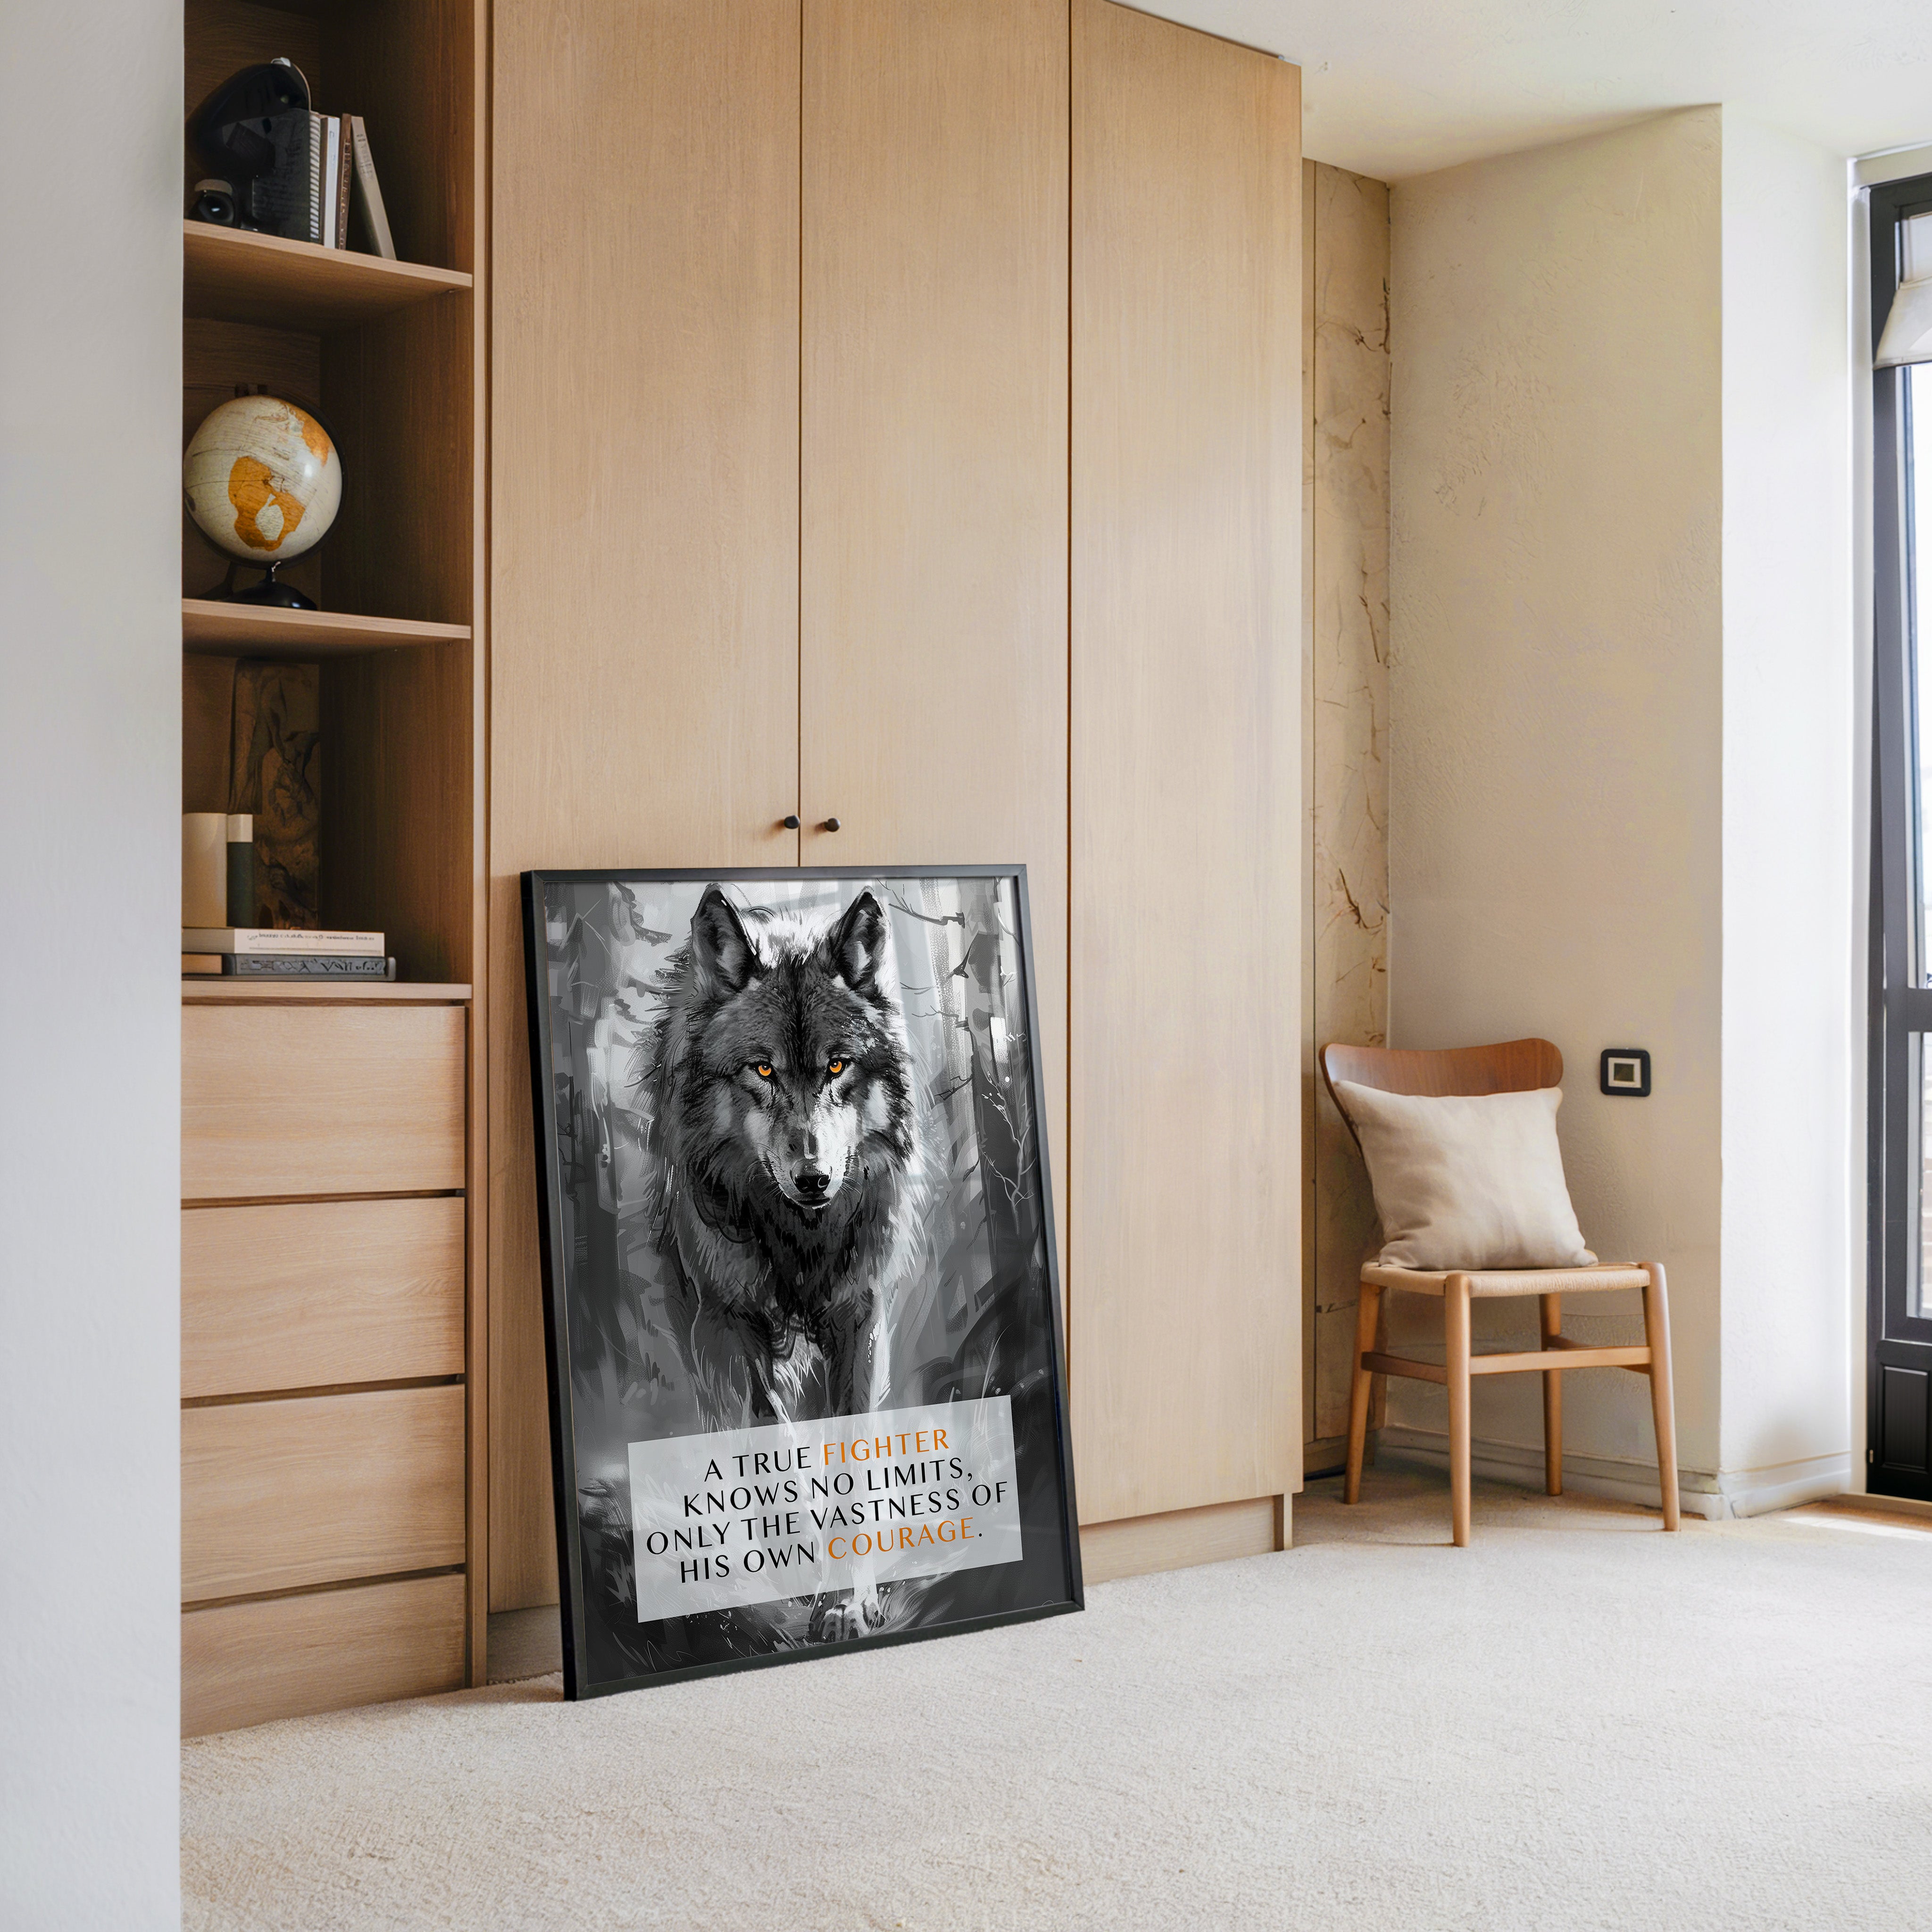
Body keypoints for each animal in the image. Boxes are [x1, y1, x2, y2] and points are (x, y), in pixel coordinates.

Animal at [642, 883, 925, 1435]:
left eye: (837, 1065)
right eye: (764, 1070)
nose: (813, 1179)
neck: (801, 1240)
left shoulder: (859, 1311)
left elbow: (852, 1427)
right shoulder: (724, 1318)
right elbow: (766, 1424)